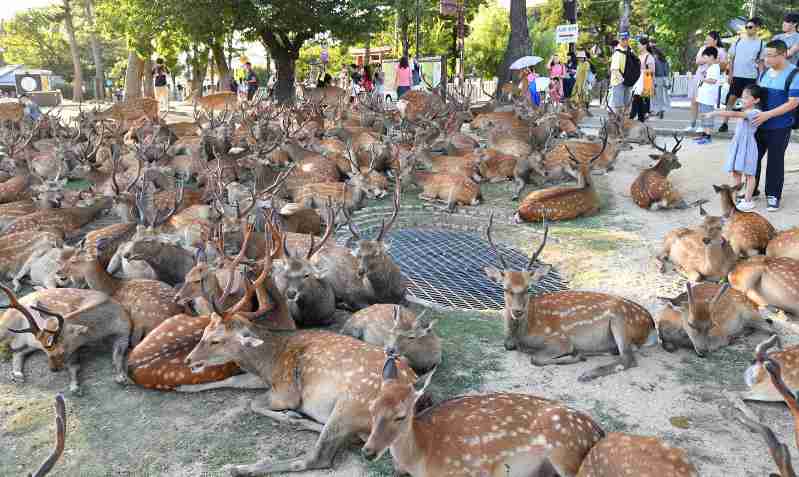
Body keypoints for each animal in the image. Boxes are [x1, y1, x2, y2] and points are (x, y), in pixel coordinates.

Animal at [0, 285, 132, 395]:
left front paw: (122, 377)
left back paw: (18, 375)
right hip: (6, 327)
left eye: (62, 351)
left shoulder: (125, 332)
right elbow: (74, 365)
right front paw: (75, 386)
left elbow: (118, 356)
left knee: (18, 351)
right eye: (46, 352)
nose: (53, 369)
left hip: (31, 342)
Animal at [184, 230, 419, 475]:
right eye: (204, 331)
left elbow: (253, 403)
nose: (188, 360)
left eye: (216, 340)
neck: (269, 361)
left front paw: (290, 415)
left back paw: (241, 467)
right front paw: (182, 387)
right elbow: (231, 381)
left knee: (318, 458)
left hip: (351, 403)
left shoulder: (286, 391)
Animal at [483, 213, 657, 381]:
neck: (524, 333)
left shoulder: (561, 339)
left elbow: (536, 358)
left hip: (620, 321)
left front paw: (574, 356)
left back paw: (587, 373)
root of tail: (651, 324)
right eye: (505, 288)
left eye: (529, 288)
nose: (517, 311)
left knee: (628, 358)